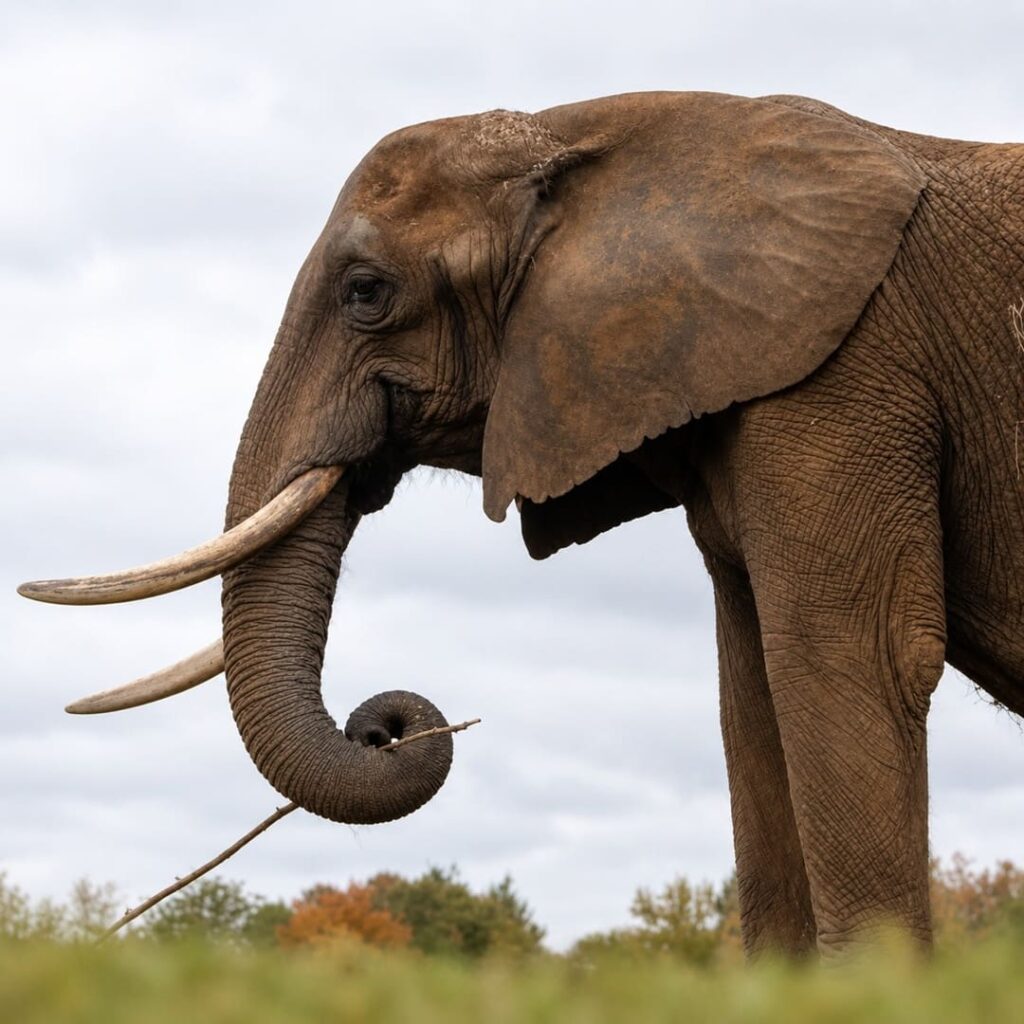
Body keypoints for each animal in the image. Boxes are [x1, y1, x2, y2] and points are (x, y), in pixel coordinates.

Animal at [19, 91, 1024, 959]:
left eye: (365, 293)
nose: (386, 728)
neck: (579, 135)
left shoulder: (844, 376)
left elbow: (853, 662)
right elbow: (755, 696)